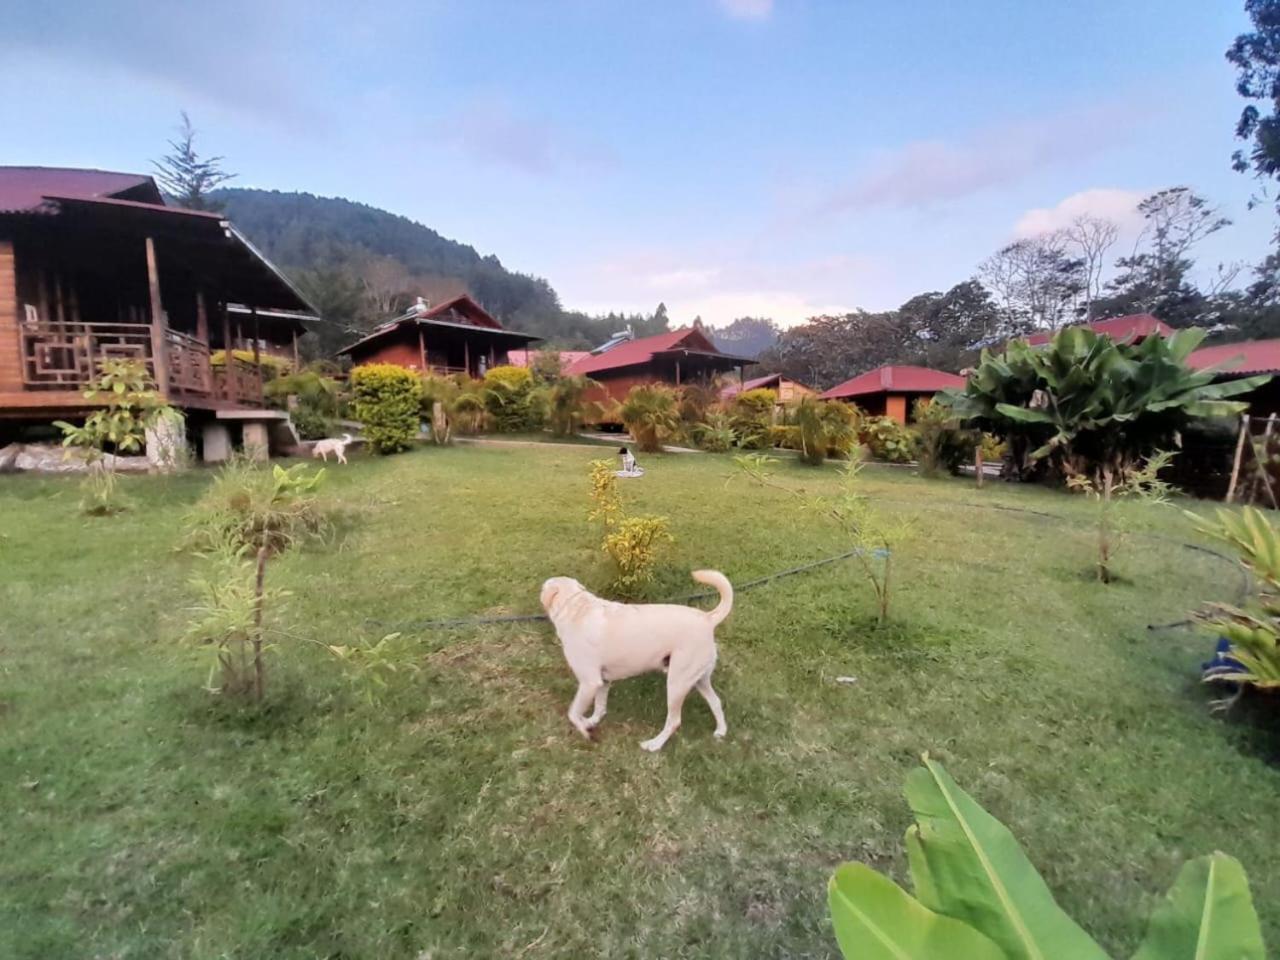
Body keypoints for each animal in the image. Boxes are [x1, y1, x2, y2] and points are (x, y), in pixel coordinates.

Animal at [540, 570, 737, 752]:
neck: (577, 606)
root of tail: (707, 618)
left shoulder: (589, 682)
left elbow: (573, 713)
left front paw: (585, 731)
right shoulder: (602, 681)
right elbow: (599, 707)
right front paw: (591, 723)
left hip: (676, 683)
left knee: (674, 721)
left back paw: (654, 745)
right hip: (698, 680)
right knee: (716, 702)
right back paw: (721, 731)